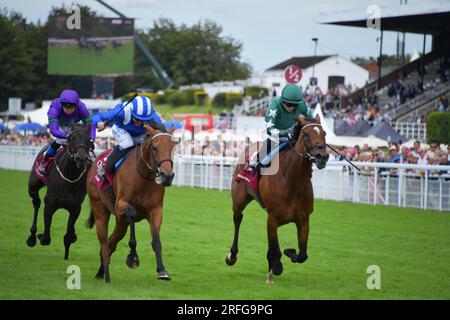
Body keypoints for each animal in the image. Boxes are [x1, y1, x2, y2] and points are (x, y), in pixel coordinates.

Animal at [26, 123, 93, 260]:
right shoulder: (50, 204)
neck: (69, 176)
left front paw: (67, 254)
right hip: (33, 187)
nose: (81, 158)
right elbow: (46, 238)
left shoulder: (75, 208)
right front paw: (40, 236)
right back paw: (32, 237)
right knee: (36, 202)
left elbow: (68, 236)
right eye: (71, 138)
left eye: (88, 139)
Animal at [86, 125, 179, 282]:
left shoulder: (156, 210)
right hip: (100, 209)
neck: (143, 176)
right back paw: (107, 277)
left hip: (120, 223)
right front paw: (133, 257)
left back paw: (100, 272)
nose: (167, 176)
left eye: (173, 147)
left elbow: (156, 241)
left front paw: (162, 270)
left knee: (111, 243)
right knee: (104, 244)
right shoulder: (120, 205)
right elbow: (132, 213)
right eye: (155, 148)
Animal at [227, 114, 328, 282]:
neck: (292, 182)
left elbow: (302, 254)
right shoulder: (273, 218)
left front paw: (289, 252)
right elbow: (276, 250)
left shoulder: (303, 218)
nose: (322, 156)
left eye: (324, 134)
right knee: (237, 219)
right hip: (239, 200)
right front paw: (277, 265)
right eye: (306, 135)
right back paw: (232, 255)